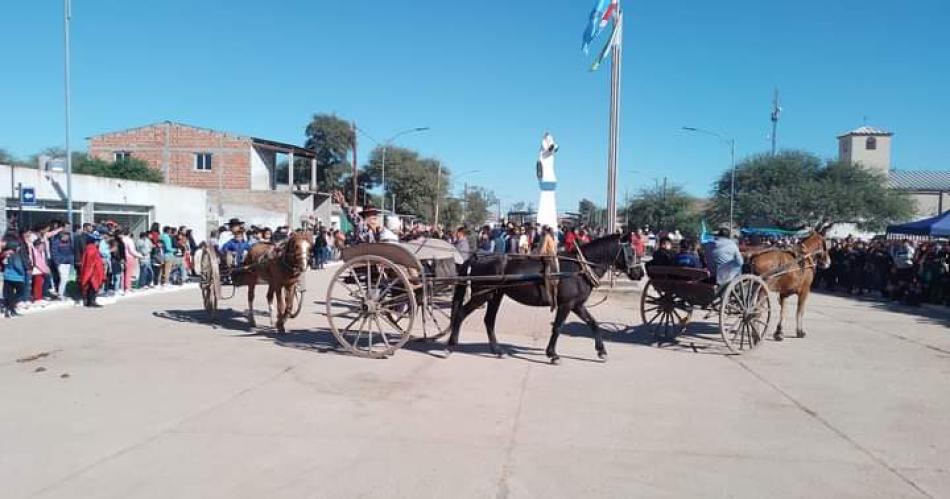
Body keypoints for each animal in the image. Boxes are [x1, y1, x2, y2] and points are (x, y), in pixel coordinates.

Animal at [446, 232, 640, 366]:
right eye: (631, 252)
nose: (640, 273)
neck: (579, 268)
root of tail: (477, 258)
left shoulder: (577, 305)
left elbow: (593, 323)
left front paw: (601, 351)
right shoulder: (567, 305)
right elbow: (558, 327)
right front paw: (553, 354)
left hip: (495, 295)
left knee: (489, 320)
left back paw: (497, 350)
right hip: (482, 295)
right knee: (461, 314)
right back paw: (450, 346)